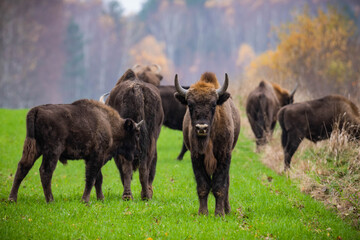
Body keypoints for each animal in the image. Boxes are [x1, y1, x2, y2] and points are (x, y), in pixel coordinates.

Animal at [7, 99, 141, 202]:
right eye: (136, 133)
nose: (137, 154)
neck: (110, 124)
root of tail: (36, 110)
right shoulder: (97, 156)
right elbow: (91, 178)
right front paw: (85, 200)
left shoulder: (91, 158)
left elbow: (98, 179)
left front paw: (101, 199)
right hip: (52, 151)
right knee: (45, 171)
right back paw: (51, 200)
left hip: (34, 148)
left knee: (23, 167)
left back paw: (12, 199)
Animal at [105, 68, 163, 200]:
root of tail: (137, 89)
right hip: (150, 141)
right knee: (144, 166)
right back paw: (145, 195)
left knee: (129, 167)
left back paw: (129, 195)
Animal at [174, 71, 239, 216]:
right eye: (190, 105)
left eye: (213, 104)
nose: (201, 128)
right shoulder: (196, 157)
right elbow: (203, 185)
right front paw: (203, 213)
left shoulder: (224, 156)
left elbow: (219, 186)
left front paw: (219, 213)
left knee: (227, 184)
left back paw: (227, 210)